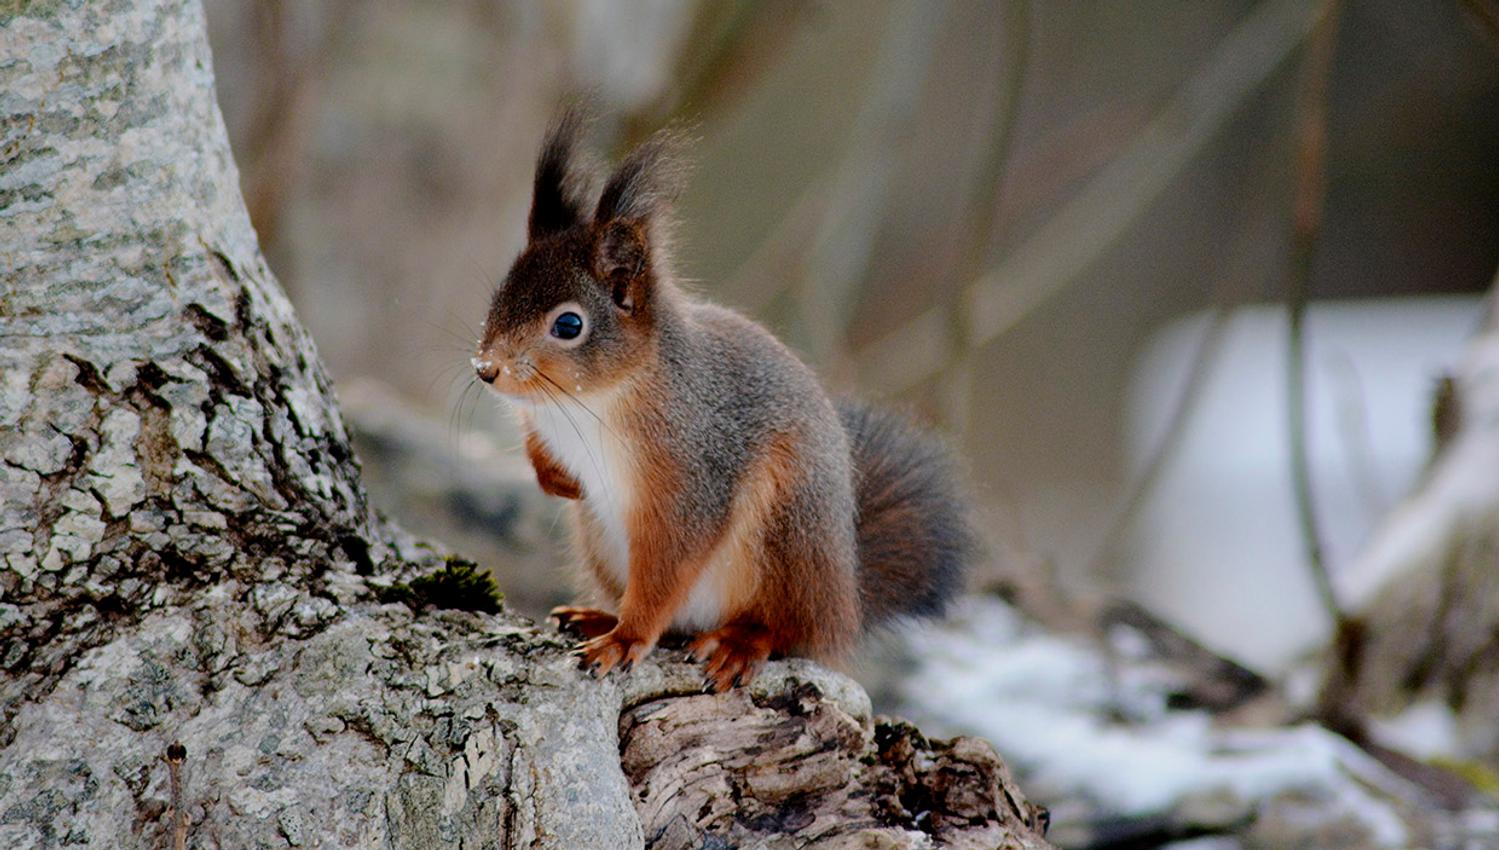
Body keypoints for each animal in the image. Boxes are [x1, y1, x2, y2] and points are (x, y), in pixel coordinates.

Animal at [472, 108, 973, 692]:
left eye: (569, 325)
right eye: (498, 297)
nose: (486, 370)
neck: (589, 399)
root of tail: (843, 601)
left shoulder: (692, 474)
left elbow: (669, 566)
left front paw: (625, 640)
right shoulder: (542, 422)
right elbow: (538, 451)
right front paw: (560, 481)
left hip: (785, 534)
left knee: (779, 629)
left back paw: (736, 642)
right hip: (599, 539)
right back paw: (596, 614)